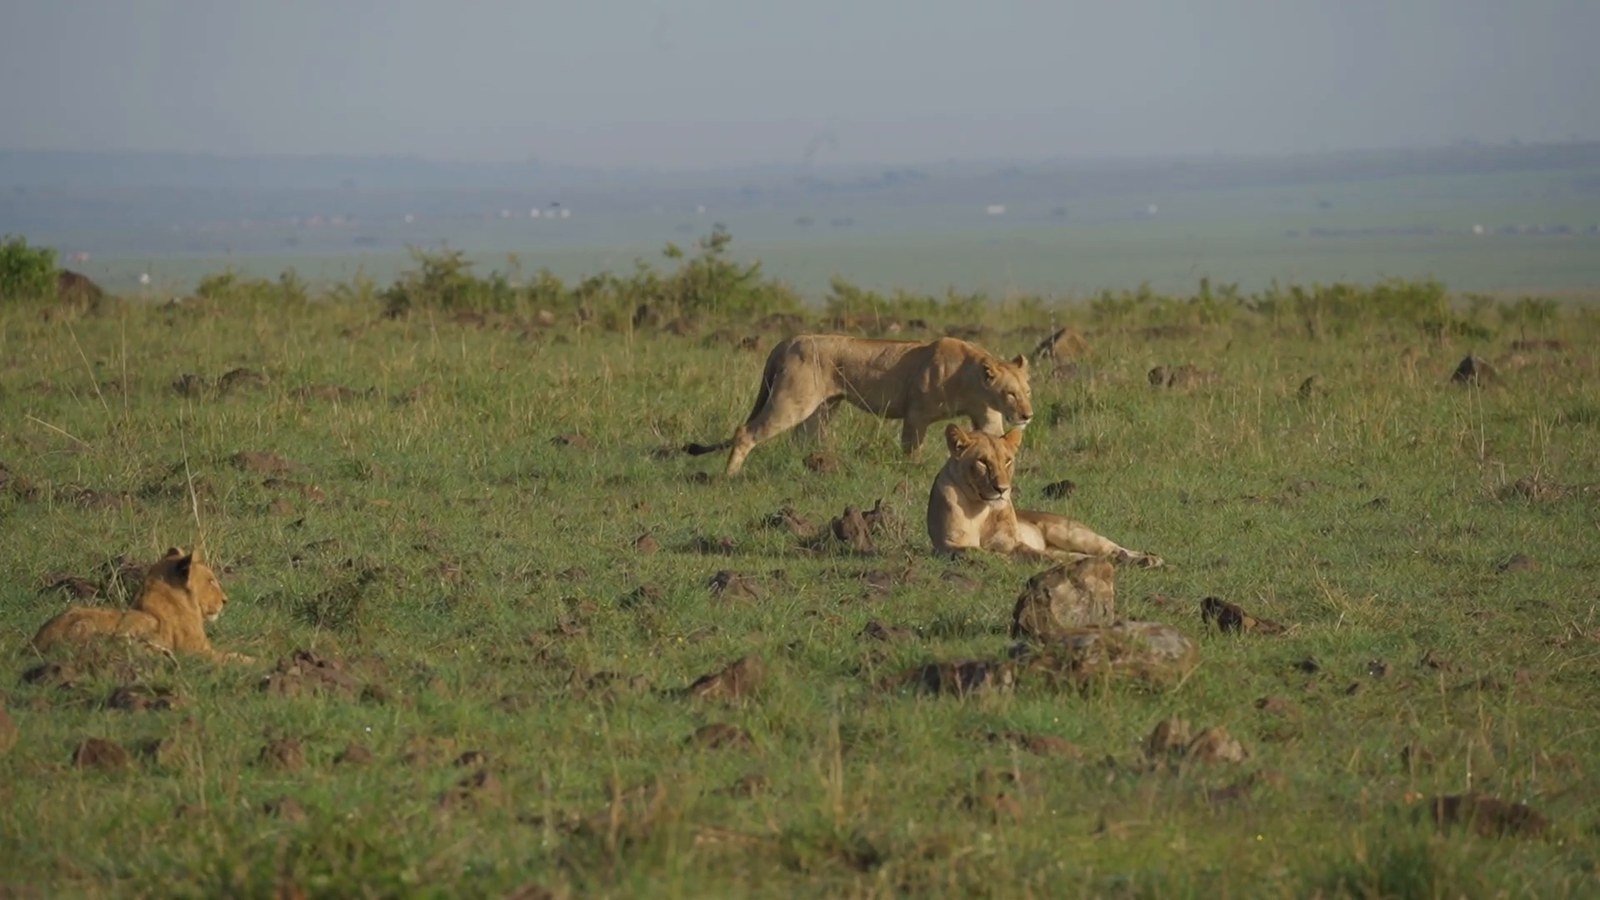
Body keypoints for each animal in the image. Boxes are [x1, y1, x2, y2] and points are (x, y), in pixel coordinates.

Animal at [30, 547, 253, 663]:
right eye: (211, 581)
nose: (225, 600)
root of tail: (36, 643)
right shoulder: (197, 651)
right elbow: (233, 656)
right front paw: (255, 661)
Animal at [686, 334, 1034, 475]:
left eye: (1028, 391)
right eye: (1010, 394)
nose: (1027, 415)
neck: (973, 380)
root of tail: (786, 341)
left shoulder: (988, 417)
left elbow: (997, 441)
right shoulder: (916, 414)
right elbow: (913, 450)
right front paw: (914, 471)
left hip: (822, 409)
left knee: (801, 440)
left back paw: (812, 467)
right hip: (792, 400)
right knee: (746, 432)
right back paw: (730, 475)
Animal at [927, 424, 1163, 567]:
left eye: (1007, 461)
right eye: (982, 462)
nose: (1002, 489)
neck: (981, 508)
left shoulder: (1012, 543)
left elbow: (1035, 554)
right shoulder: (946, 545)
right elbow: (971, 551)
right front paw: (1000, 559)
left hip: (1071, 533)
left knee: (1111, 548)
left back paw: (1148, 559)